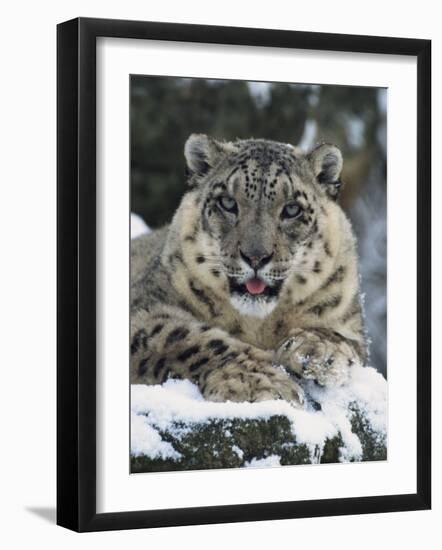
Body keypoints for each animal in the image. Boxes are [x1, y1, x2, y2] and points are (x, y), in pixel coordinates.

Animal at [130, 134, 366, 406]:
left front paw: (317, 352)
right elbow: (186, 337)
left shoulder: (348, 320)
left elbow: (343, 338)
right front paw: (258, 381)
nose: (256, 257)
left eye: (292, 209)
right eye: (227, 203)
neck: (258, 325)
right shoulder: (145, 309)